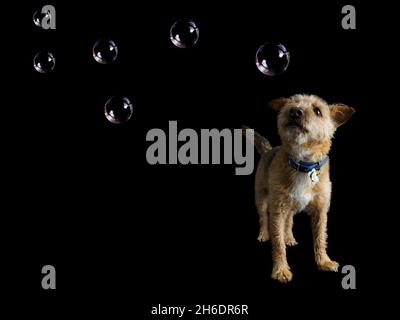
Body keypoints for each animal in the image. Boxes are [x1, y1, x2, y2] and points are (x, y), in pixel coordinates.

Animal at [245, 94, 354, 282]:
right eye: (290, 104)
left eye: (318, 111)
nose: (295, 111)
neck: (303, 163)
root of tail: (269, 150)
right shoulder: (277, 210)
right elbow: (277, 242)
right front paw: (281, 270)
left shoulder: (320, 211)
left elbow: (320, 237)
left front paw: (324, 261)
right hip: (262, 198)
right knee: (263, 217)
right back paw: (264, 234)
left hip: (289, 205)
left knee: (289, 221)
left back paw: (289, 237)